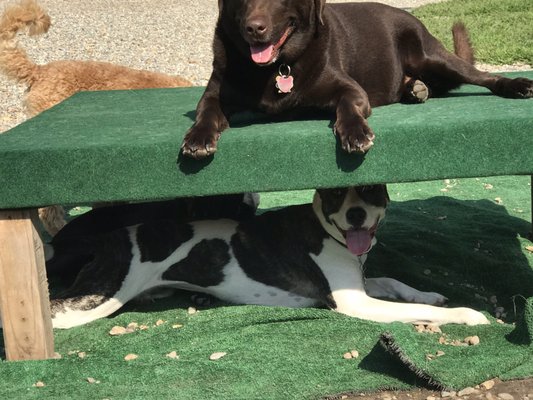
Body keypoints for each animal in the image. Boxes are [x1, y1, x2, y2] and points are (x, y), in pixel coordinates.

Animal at [43, 186, 488, 330]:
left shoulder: (359, 286)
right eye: (336, 195)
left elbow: (397, 283)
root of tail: (107, 239)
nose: (356, 215)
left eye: (371, 191)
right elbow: (416, 310)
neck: (324, 227)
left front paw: (429, 293)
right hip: (97, 298)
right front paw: (467, 314)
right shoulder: (357, 303)